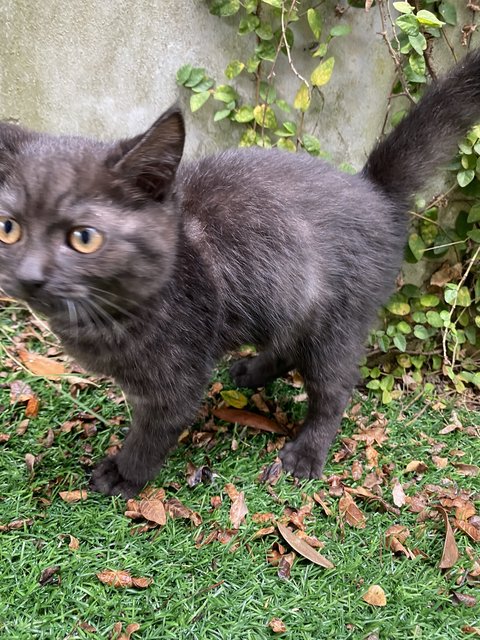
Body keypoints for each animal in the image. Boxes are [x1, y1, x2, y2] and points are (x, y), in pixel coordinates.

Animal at [2, 52, 480, 498]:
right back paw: (251, 372)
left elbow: (153, 431)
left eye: (84, 237)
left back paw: (305, 454)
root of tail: (373, 191)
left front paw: (125, 473)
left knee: (333, 389)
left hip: (338, 319)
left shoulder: (177, 378)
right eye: (9, 228)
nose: (30, 276)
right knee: (288, 344)